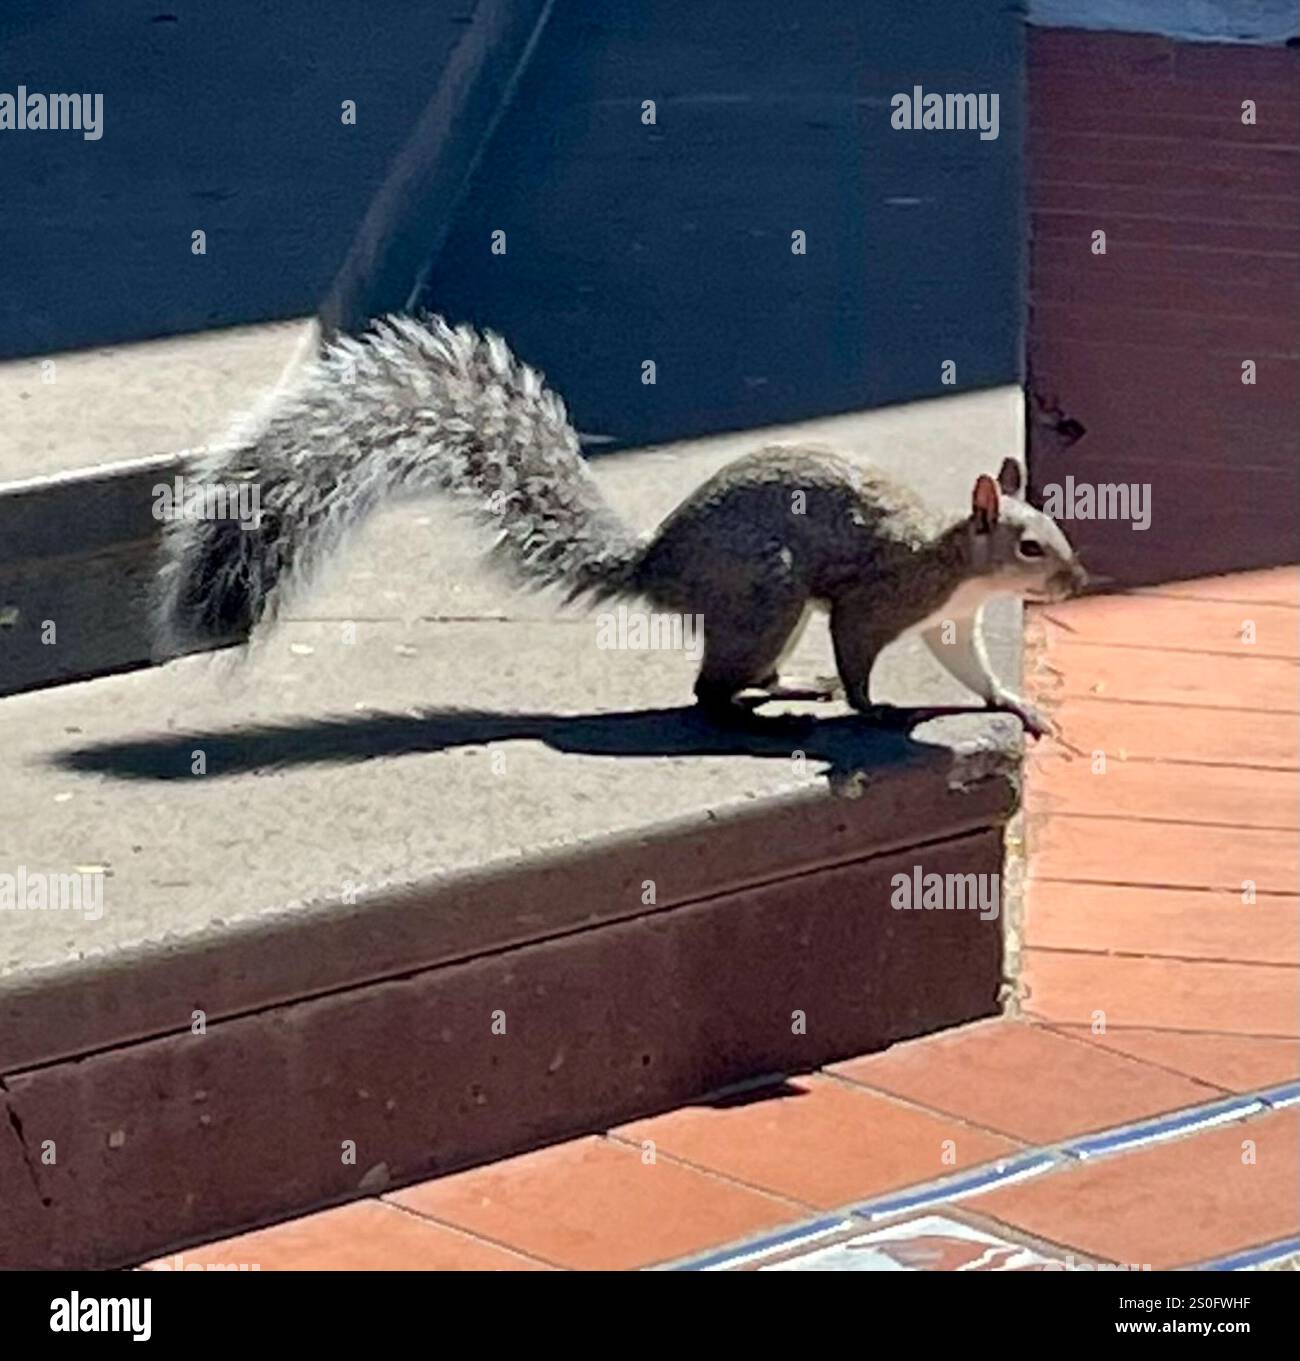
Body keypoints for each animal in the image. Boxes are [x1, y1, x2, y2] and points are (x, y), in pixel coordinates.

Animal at [155, 312, 1087, 737]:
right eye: (1029, 544)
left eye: (1055, 531)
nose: (1078, 580)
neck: (953, 565)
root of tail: (657, 565)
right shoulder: (880, 598)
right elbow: (858, 651)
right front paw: (876, 709)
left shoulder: (950, 622)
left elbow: (969, 668)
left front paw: (1014, 703)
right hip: (768, 594)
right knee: (708, 693)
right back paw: (768, 706)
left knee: (729, 679)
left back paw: (782, 687)